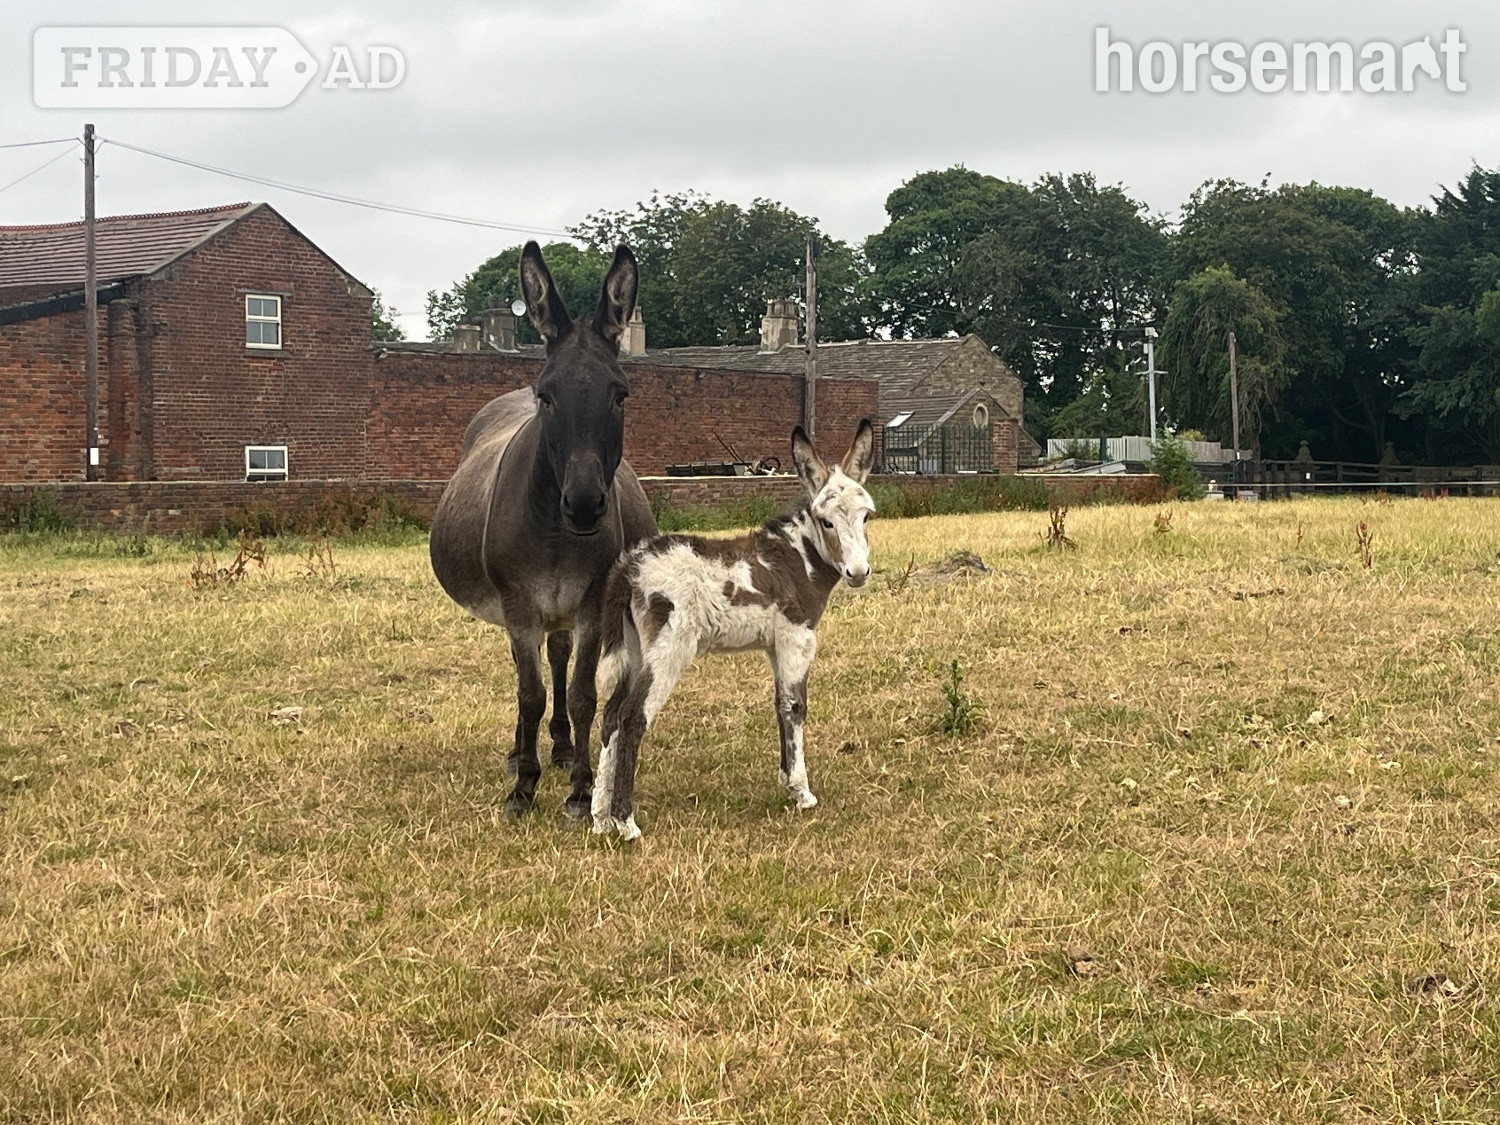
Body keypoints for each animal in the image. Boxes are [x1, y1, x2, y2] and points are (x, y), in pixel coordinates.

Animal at [429, 242, 657, 821]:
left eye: (620, 395)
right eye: (547, 396)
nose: (584, 505)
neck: (557, 535)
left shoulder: (593, 604)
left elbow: (581, 695)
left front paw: (579, 788)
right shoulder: (518, 605)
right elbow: (528, 693)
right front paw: (523, 787)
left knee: (558, 660)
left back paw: (561, 747)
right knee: (526, 674)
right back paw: (523, 752)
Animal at [590, 419, 876, 839]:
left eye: (866, 517)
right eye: (826, 521)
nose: (858, 573)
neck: (799, 559)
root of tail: (629, 567)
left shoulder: (775, 645)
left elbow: (778, 705)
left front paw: (787, 781)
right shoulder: (797, 637)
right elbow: (795, 706)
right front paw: (803, 792)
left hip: (635, 649)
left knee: (610, 716)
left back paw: (599, 817)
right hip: (669, 647)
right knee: (632, 717)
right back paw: (626, 823)